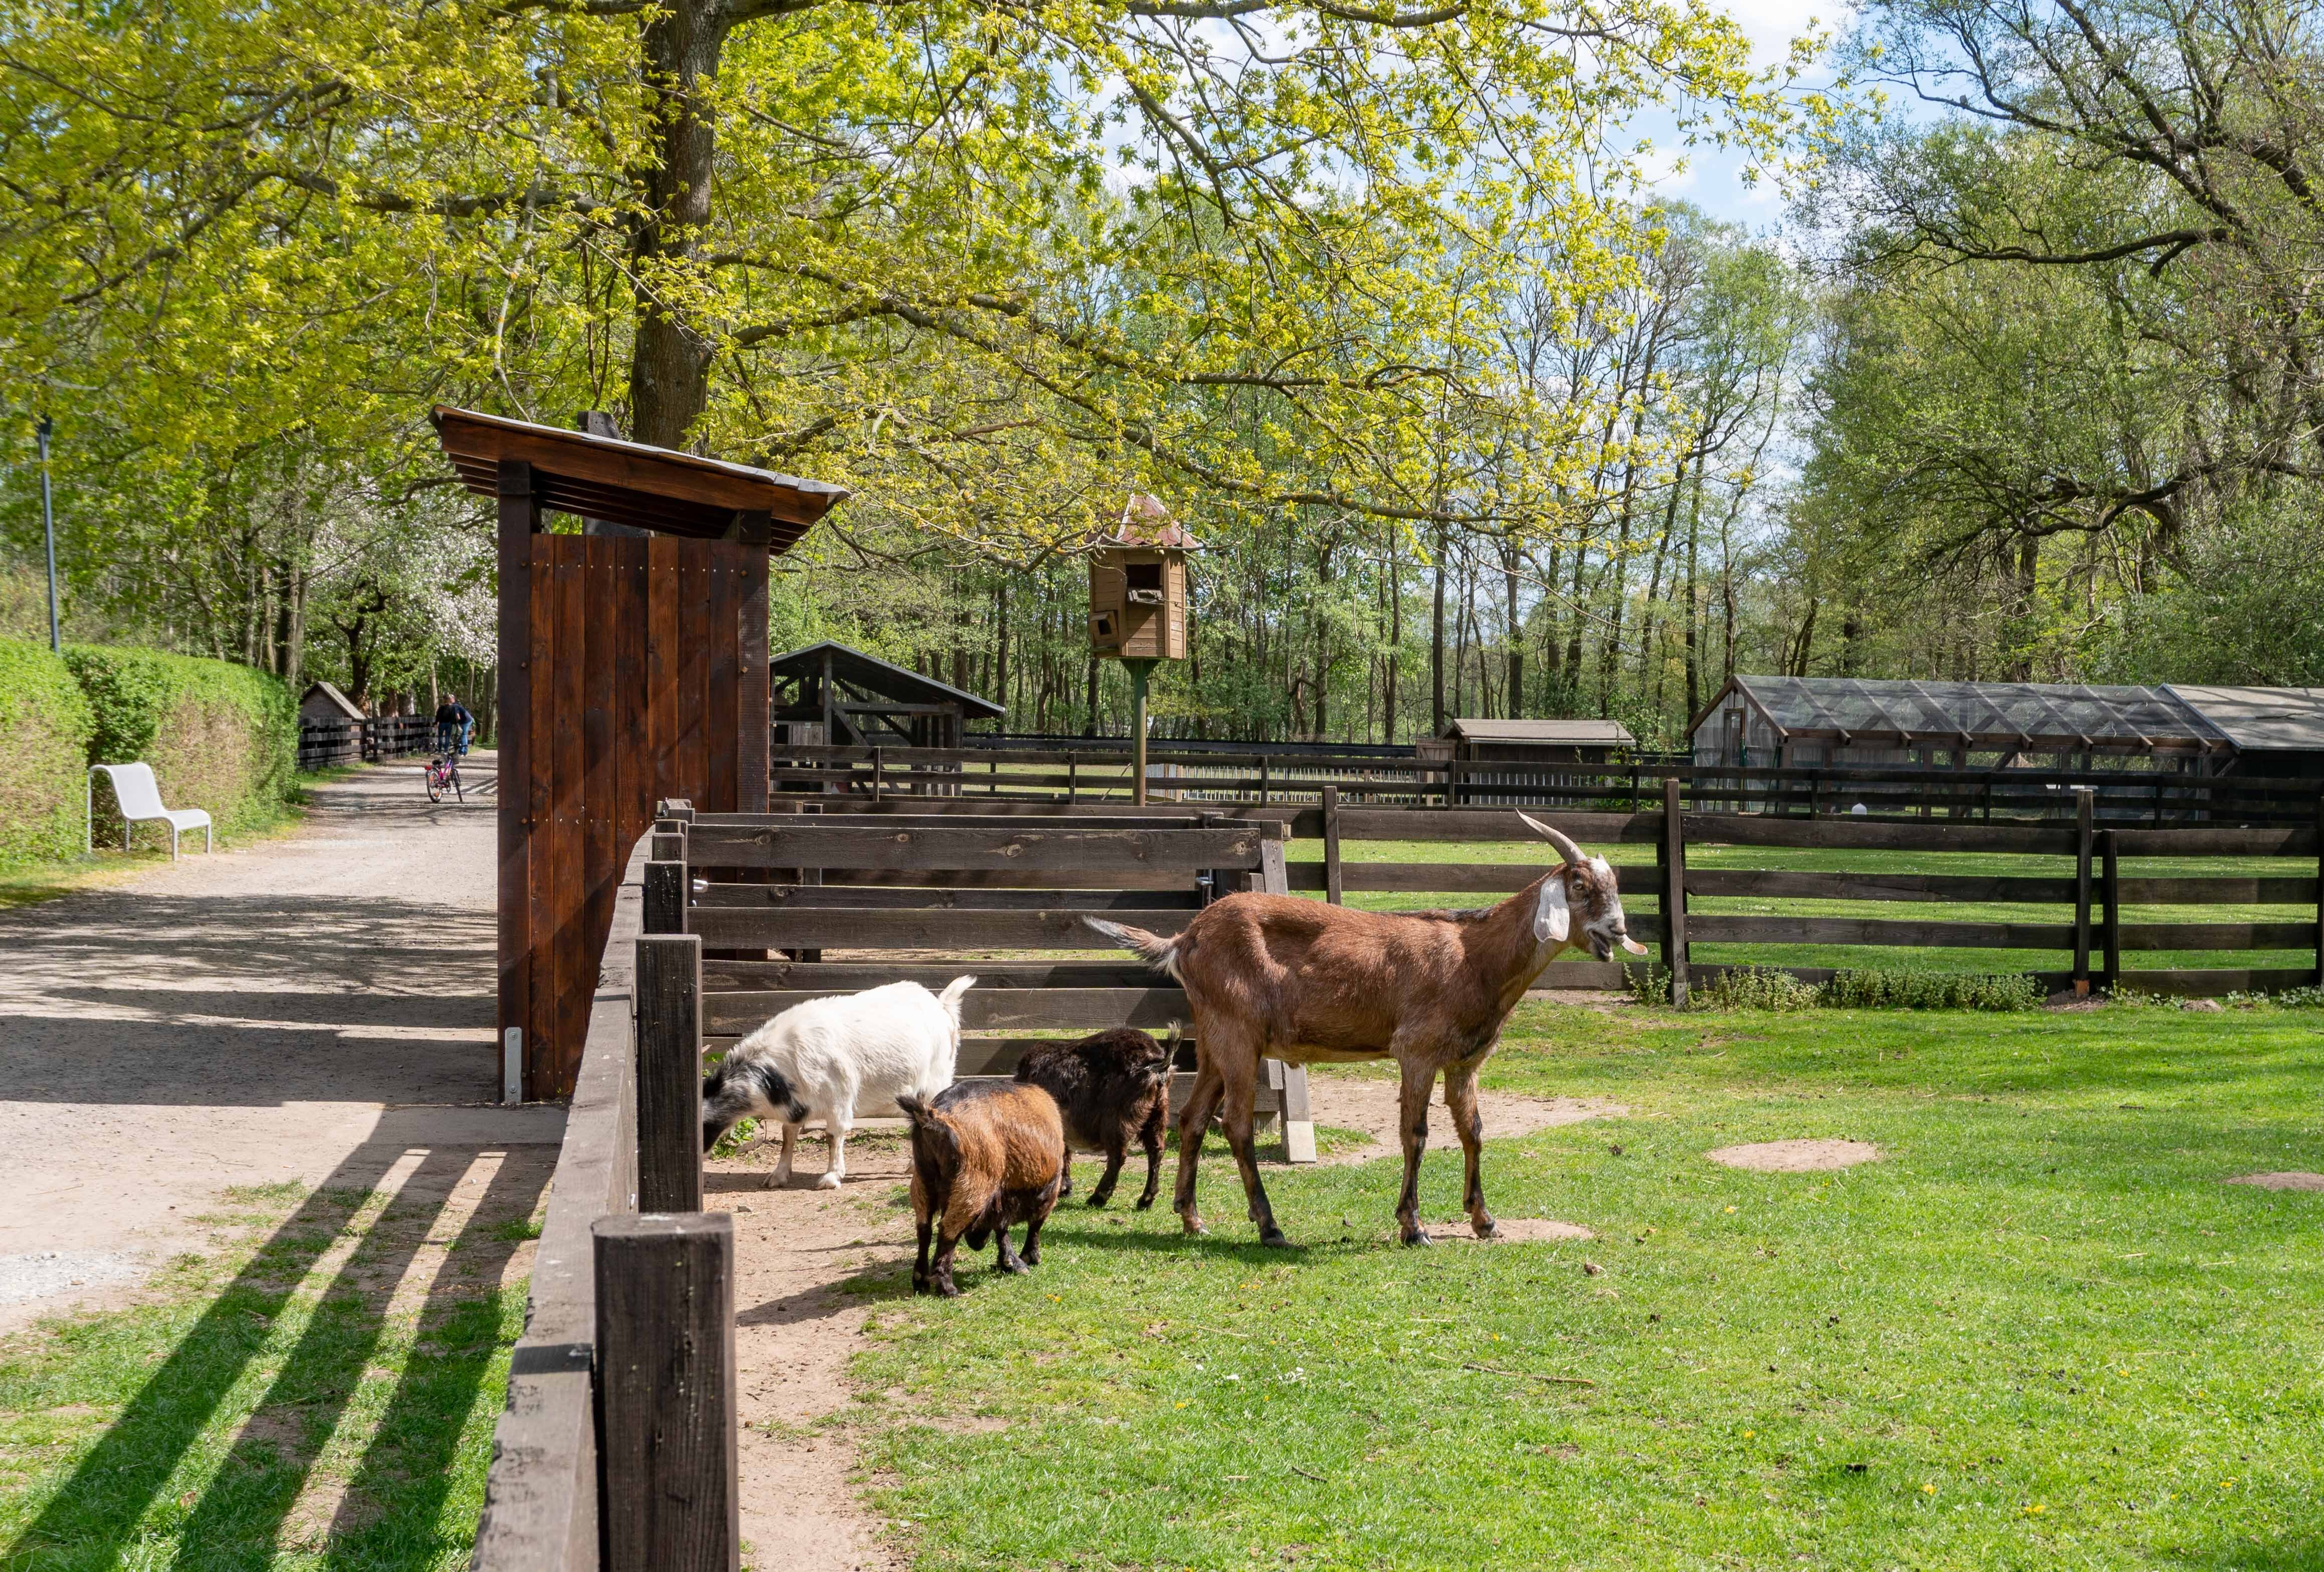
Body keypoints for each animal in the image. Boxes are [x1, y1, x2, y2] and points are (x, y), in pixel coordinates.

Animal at [697, 975, 971, 1184]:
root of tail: (941, 1005)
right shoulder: (797, 1104)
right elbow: (788, 1136)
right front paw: (778, 1176)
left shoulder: (839, 1098)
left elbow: (833, 1136)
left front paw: (831, 1177)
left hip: (936, 1080)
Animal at [897, 1077, 1069, 1291]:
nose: (977, 1243)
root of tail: (932, 1118)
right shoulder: (1048, 1191)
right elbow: (1034, 1225)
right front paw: (1029, 1259)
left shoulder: (1001, 1197)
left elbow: (1001, 1227)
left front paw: (1011, 1263)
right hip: (973, 1185)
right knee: (947, 1230)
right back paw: (947, 1287)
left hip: (922, 1182)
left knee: (924, 1228)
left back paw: (921, 1281)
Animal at [1013, 1021, 1171, 1207]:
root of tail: (1157, 1063)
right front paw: (1065, 1189)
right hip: (1158, 1113)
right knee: (1156, 1150)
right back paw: (1146, 1199)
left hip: (1116, 1118)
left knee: (1118, 1156)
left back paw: (1098, 1197)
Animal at [1088, 817, 1654, 1244]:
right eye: (1579, 887)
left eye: (1614, 888)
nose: (1617, 931)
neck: (1475, 958)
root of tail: (1186, 937)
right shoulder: (1417, 1051)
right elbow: (1416, 1134)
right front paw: (1413, 1226)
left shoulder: (1465, 1060)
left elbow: (1472, 1130)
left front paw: (1484, 1220)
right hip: (1239, 1036)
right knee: (1237, 1125)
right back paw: (1269, 1226)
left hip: (1212, 1040)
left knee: (1193, 1118)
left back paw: (1191, 1217)